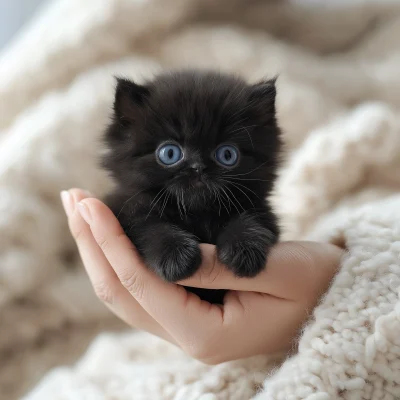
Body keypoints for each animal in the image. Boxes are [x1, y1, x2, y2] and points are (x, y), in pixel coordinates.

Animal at [101, 69, 280, 304]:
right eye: (170, 153)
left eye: (227, 154)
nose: (198, 167)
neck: (197, 213)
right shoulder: (126, 207)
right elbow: (149, 226)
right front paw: (176, 257)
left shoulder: (262, 210)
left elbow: (252, 218)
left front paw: (244, 248)